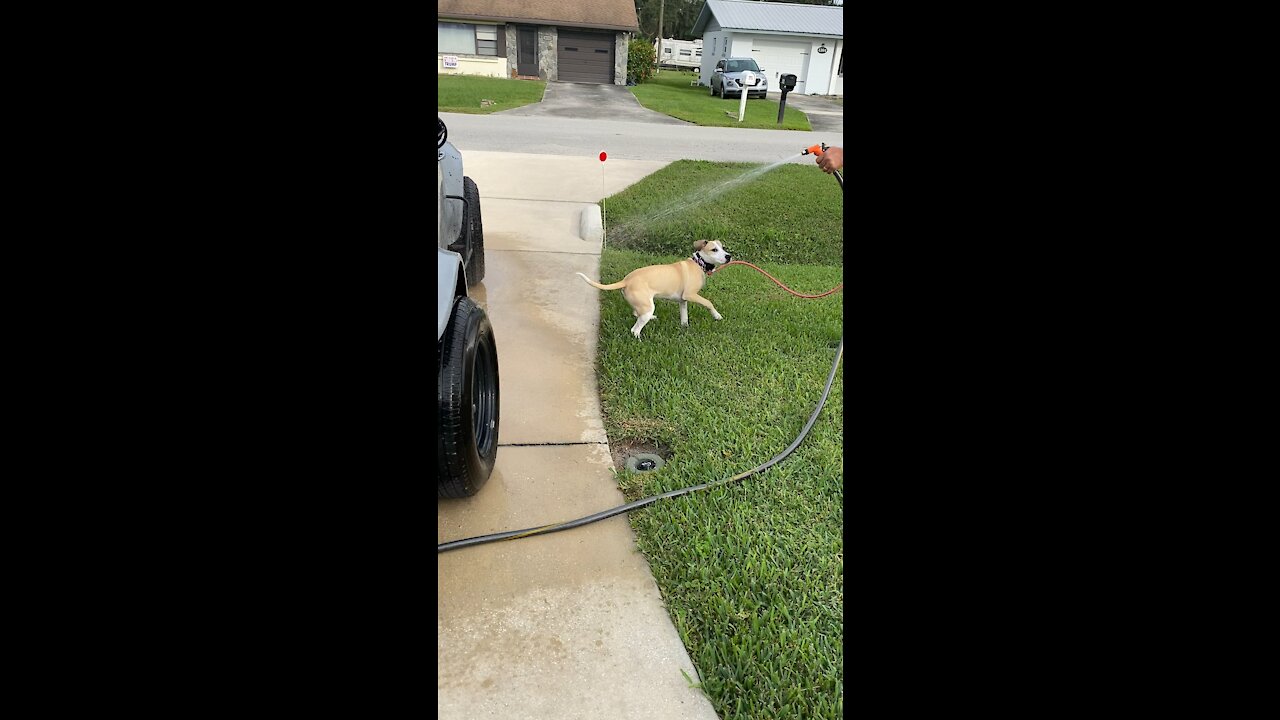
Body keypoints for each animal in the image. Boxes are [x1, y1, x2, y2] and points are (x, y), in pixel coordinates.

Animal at [578, 238, 737, 333]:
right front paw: (717, 316)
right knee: (635, 329)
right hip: (647, 306)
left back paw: (651, 318)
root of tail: (626, 280)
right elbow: (708, 303)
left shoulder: (683, 300)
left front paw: (684, 327)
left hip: (642, 304)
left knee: (636, 313)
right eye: (714, 250)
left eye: (723, 248)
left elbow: (684, 315)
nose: (728, 256)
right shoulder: (690, 294)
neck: (699, 264)